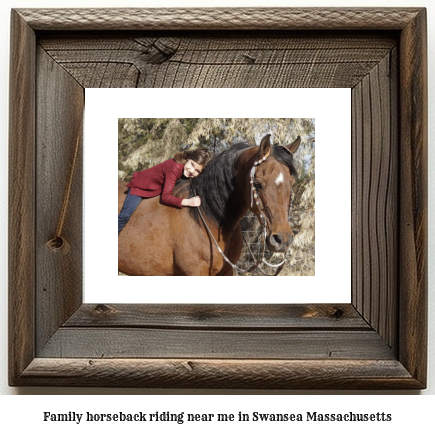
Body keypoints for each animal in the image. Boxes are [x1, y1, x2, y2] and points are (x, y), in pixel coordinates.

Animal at [119, 134, 304, 276]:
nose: (282, 239)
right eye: (258, 184)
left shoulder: (227, 272)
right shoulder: (195, 273)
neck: (206, 216)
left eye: (291, 183)